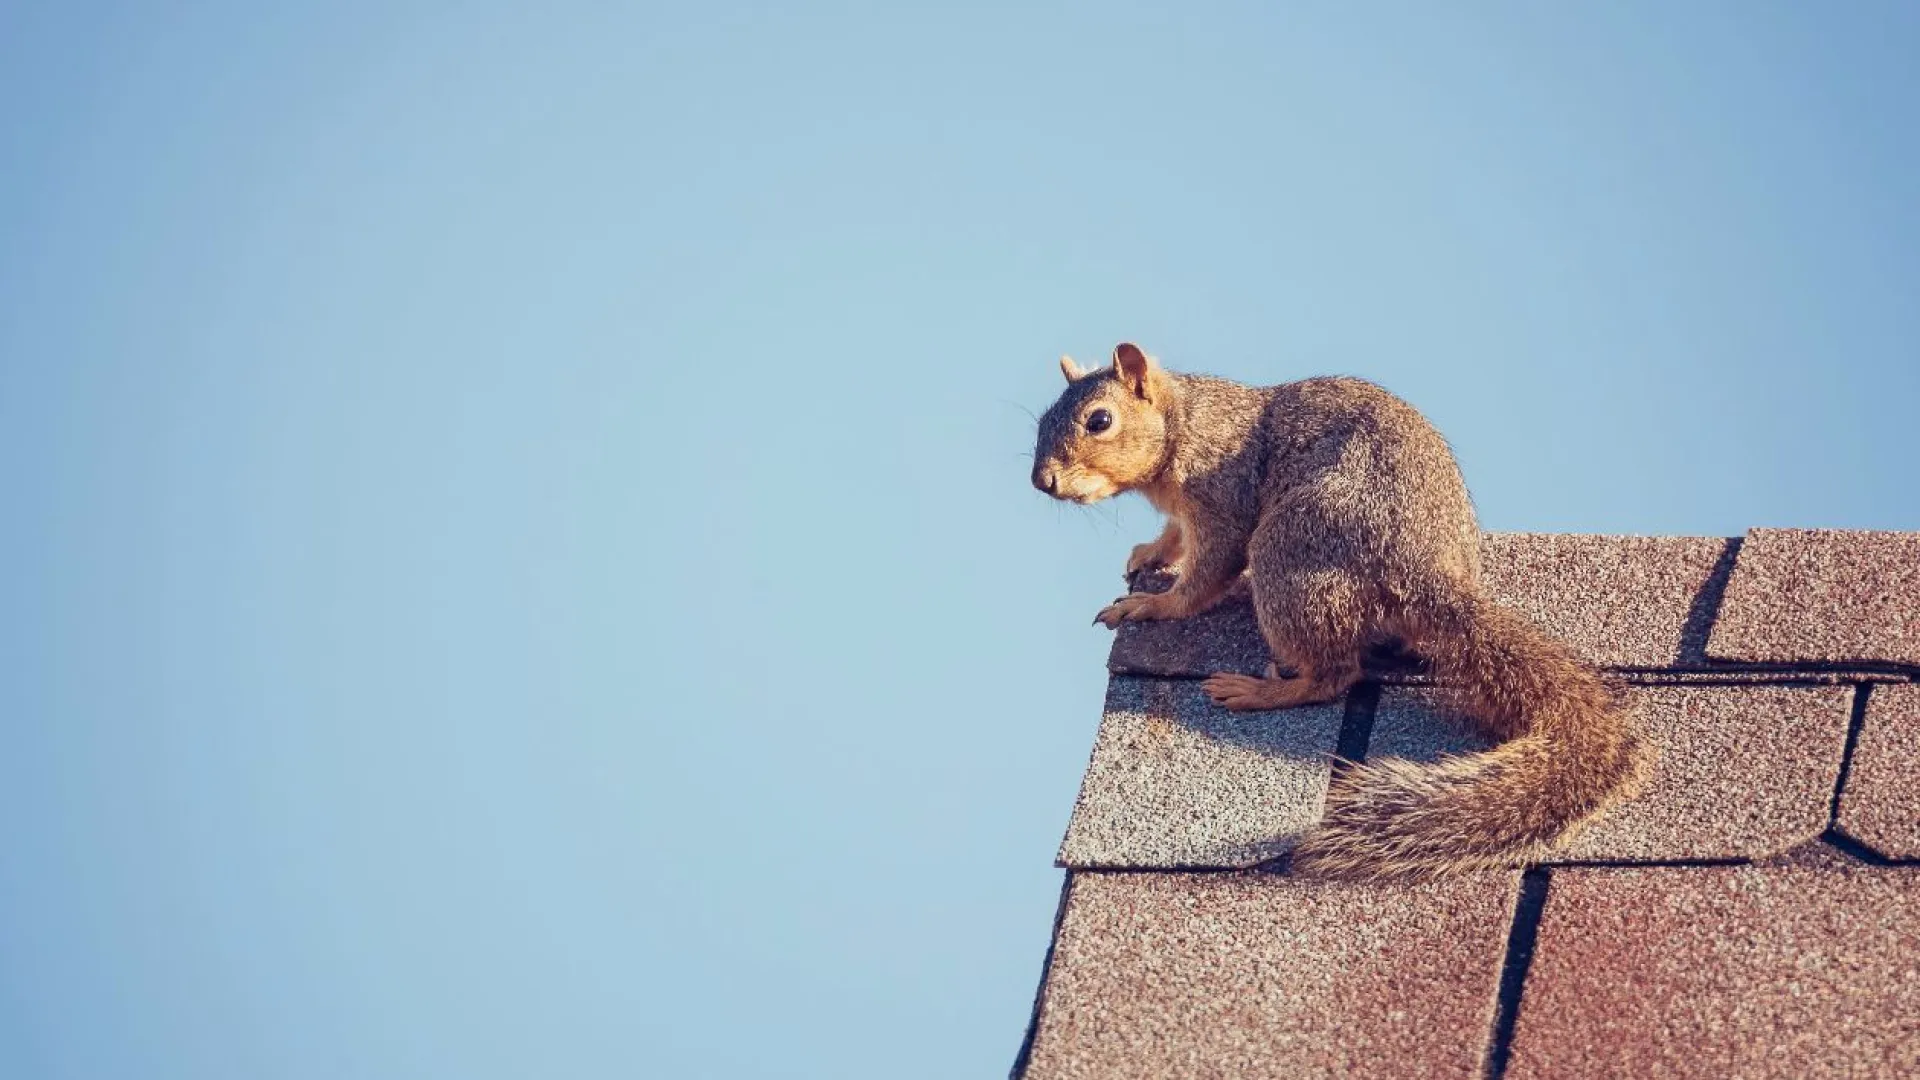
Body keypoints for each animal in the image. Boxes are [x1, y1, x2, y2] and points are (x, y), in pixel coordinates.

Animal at [1036, 342, 1651, 876]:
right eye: (1042, 419)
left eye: (1099, 420)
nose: (1043, 480)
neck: (1185, 422)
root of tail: (1421, 569)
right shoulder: (1182, 512)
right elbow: (1173, 538)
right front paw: (1149, 554)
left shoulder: (1223, 496)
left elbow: (1208, 571)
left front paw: (1154, 605)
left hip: (1289, 551)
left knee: (1334, 674)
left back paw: (1261, 691)